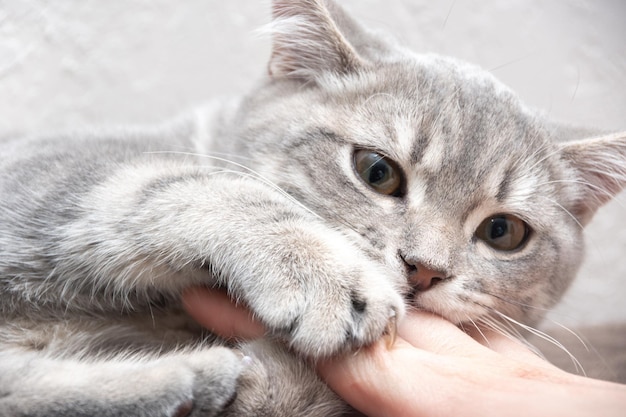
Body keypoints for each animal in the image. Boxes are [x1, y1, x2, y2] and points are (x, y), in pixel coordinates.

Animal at [0, 0, 620, 414]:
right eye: (377, 172)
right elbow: (184, 183)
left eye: (502, 232)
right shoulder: (43, 170)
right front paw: (325, 276)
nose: (424, 269)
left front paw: (275, 380)